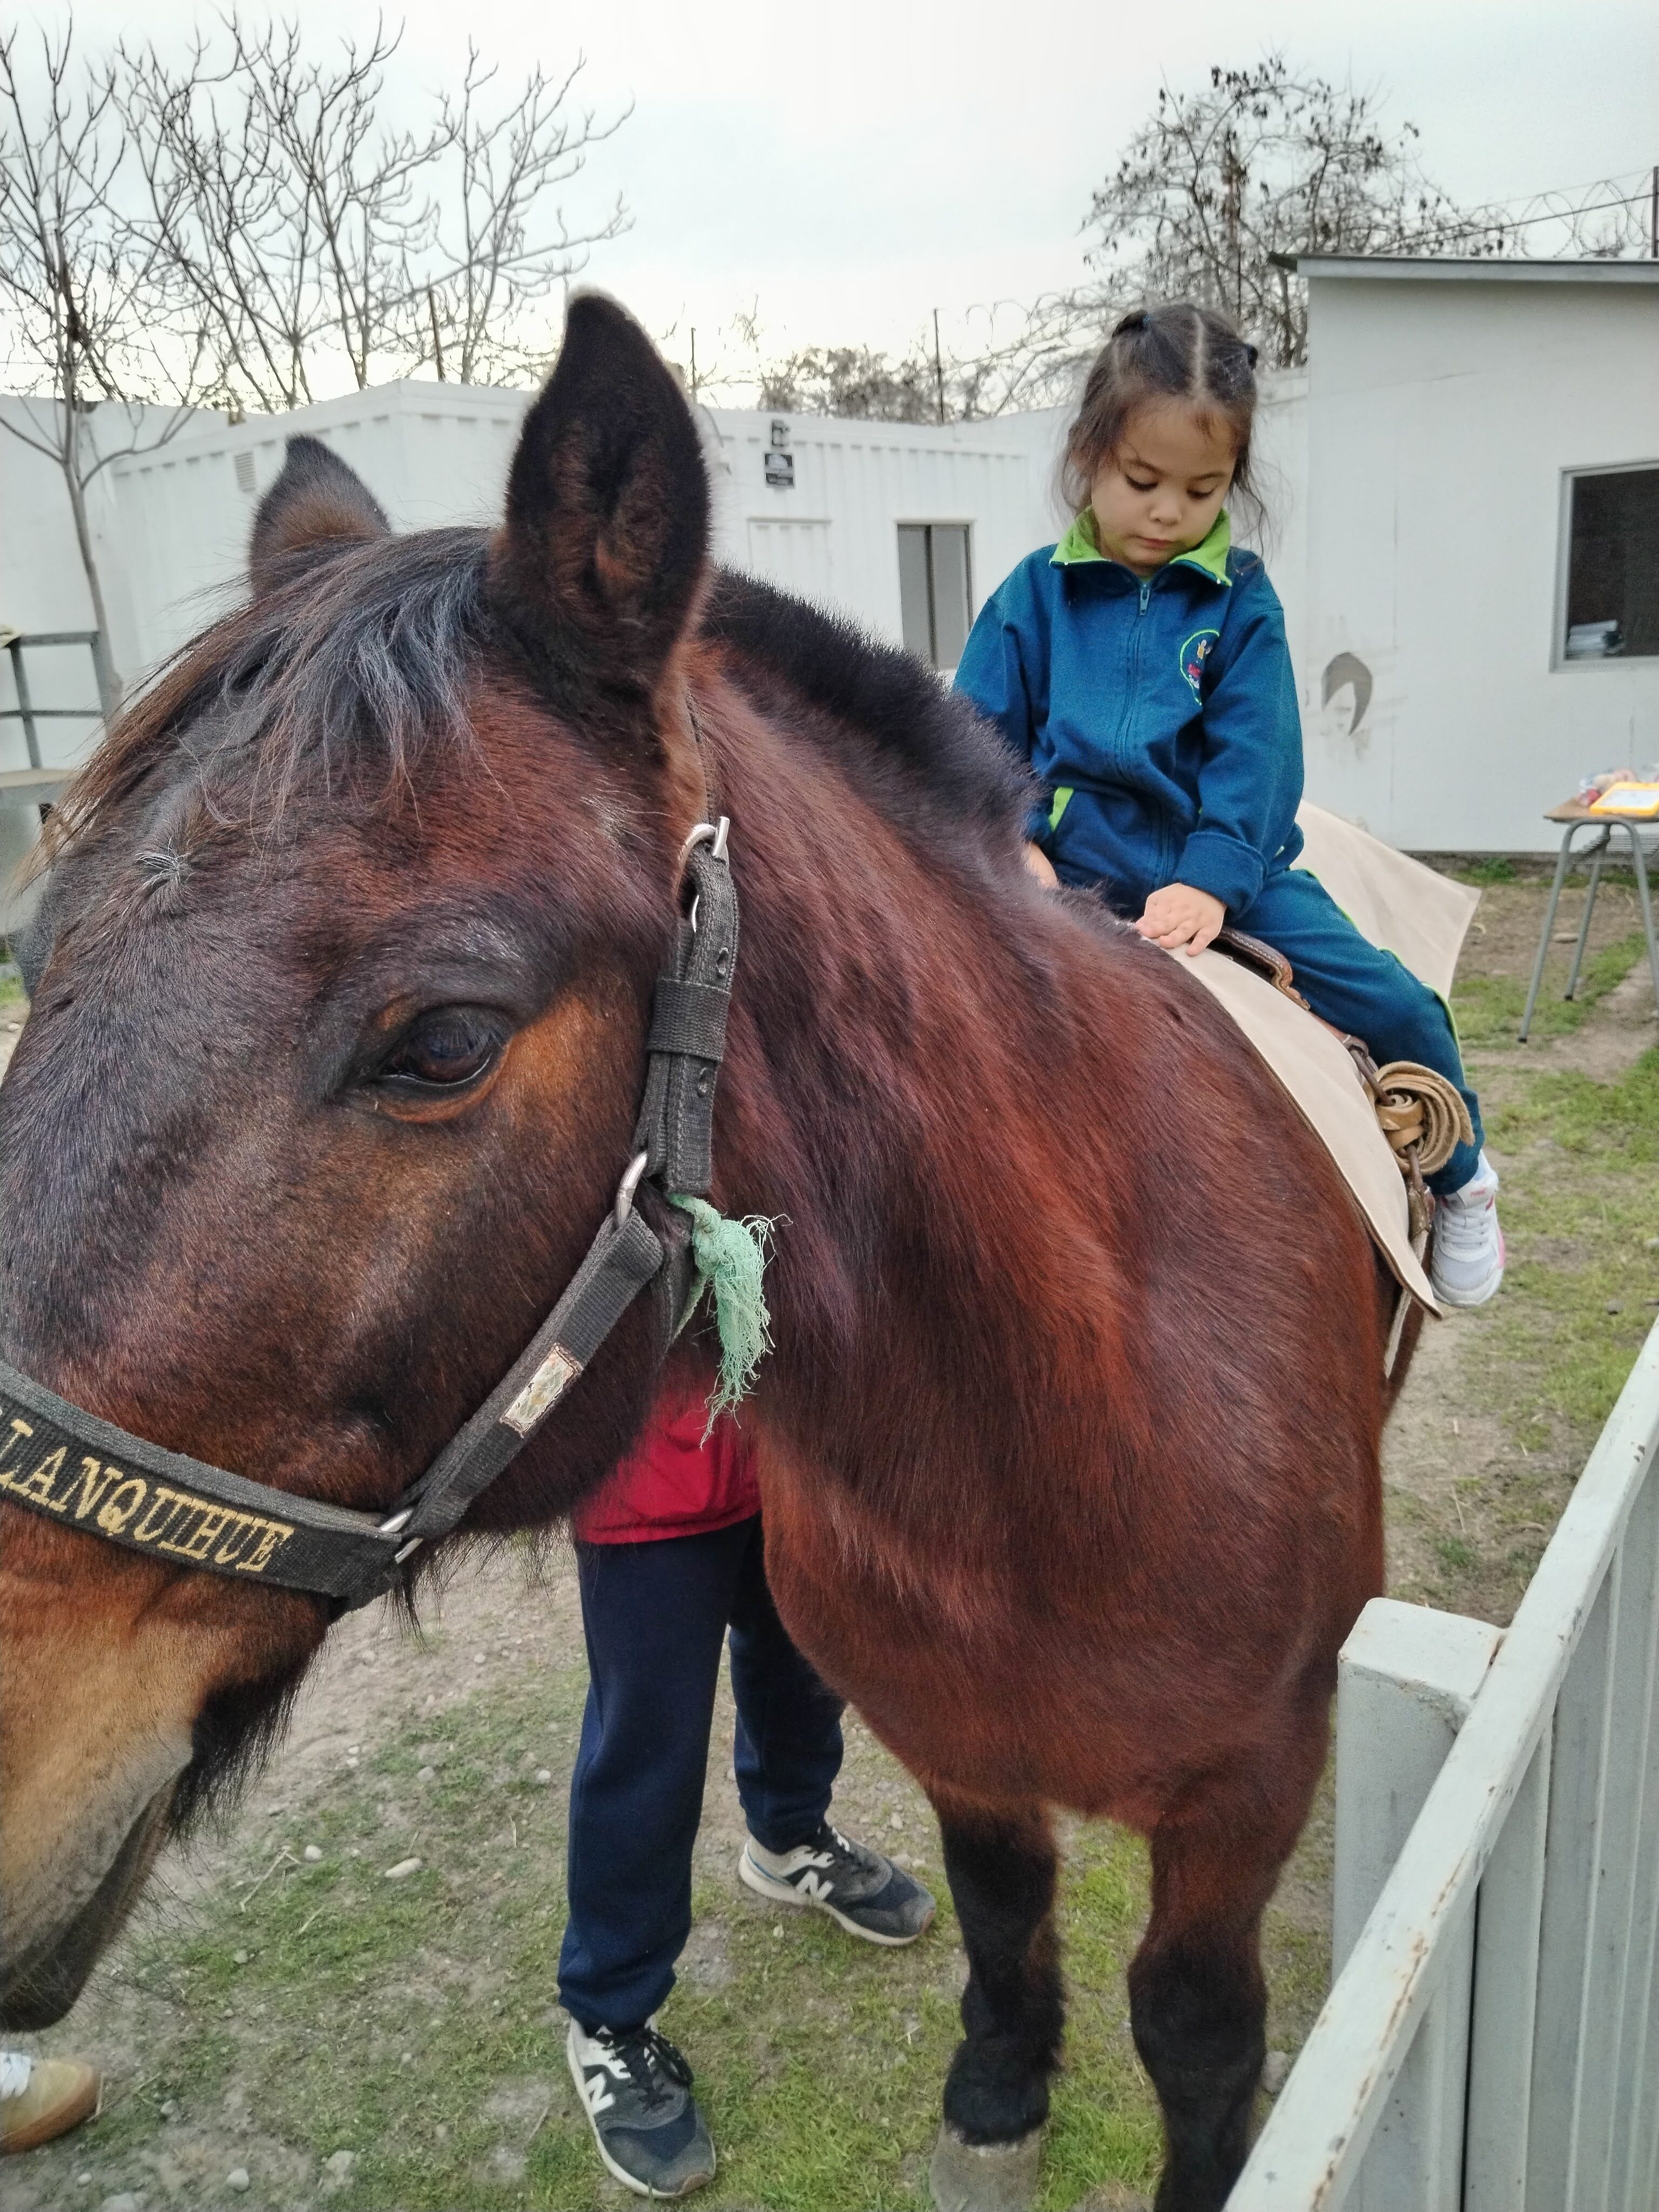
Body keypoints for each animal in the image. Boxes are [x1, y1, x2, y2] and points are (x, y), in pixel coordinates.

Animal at [0, 295, 1415, 2212]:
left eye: (442, 1041)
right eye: (34, 956)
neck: (1072, 1425)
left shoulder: (1245, 1800)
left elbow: (1198, 2039)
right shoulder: (960, 1739)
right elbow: (1003, 1914)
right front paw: (995, 2096)